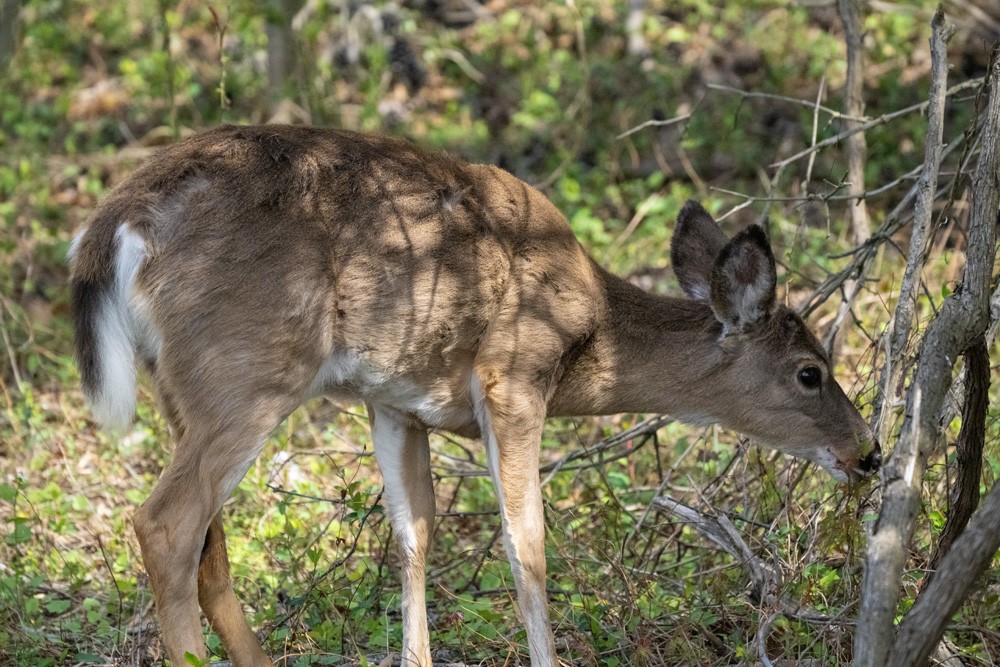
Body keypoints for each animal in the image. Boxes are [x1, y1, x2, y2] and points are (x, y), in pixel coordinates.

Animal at [72, 126, 884, 667]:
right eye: (810, 371)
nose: (869, 452)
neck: (591, 330)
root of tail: (114, 226)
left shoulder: (394, 400)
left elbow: (413, 536)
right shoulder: (514, 374)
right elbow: (528, 545)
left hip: (183, 384)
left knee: (208, 547)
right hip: (249, 368)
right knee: (166, 524)